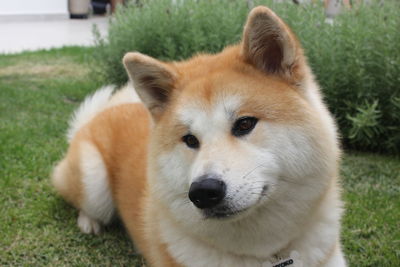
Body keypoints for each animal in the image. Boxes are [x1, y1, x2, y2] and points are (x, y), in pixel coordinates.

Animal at [51, 6, 346, 267]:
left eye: (245, 124)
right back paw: (89, 222)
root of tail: (102, 114)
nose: (204, 191)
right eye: (190, 140)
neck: (265, 254)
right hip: (93, 181)